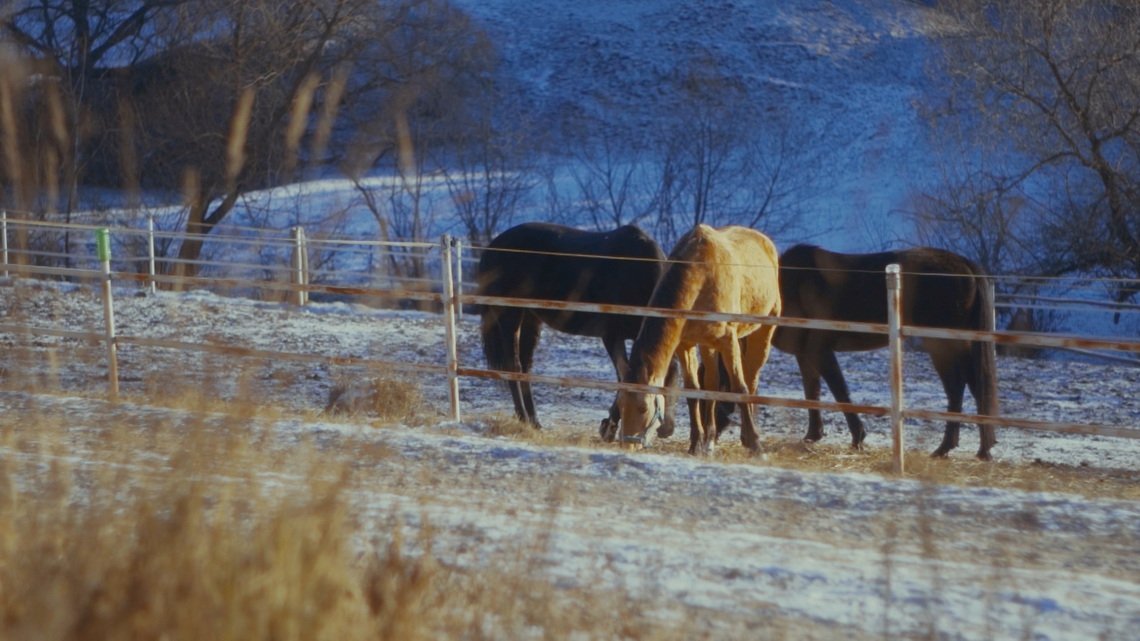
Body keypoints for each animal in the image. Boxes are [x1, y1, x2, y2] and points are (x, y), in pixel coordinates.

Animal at [474, 221, 674, 433]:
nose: (667, 429)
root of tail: (492, 247)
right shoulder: (611, 336)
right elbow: (624, 376)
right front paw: (608, 427)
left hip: (530, 317)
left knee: (525, 365)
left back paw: (534, 421)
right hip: (509, 314)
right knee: (513, 365)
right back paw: (523, 418)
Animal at [615, 224, 784, 453]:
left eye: (643, 407)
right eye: (621, 403)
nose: (628, 445)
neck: (700, 275)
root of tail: (765, 241)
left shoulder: (729, 342)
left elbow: (739, 388)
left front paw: (756, 446)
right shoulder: (685, 345)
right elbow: (694, 390)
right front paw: (696, 444)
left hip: (763, 331)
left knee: (750, 380)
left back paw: (749, 437)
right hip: (708, 344)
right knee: (712, 382)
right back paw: (710, 440)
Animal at [770, 241, 1003, 456]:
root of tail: (965, 264)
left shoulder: (821, 351)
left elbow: (839, 391)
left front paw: (857, 437)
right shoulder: (804, 354)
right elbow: (812, 391)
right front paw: (812, 435)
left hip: (942, 346)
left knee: (956, 388)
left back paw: (945, 448)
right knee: (976, 386)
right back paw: (983, 450)